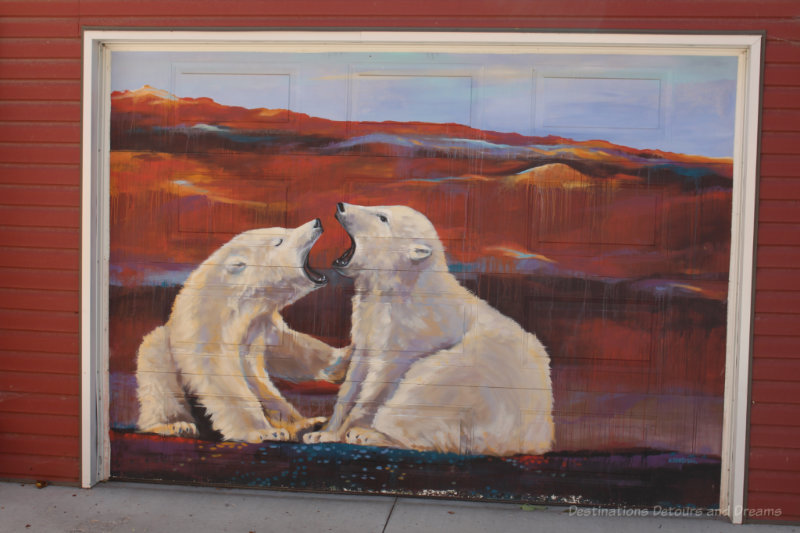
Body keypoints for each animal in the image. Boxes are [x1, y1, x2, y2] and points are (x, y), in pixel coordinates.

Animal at [137, 218, 350, 442]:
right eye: (279, 240)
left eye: (285, 229)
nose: (317, 222)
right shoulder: (209, 326)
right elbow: (221, 375)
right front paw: (264, 431)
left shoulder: (260, 322)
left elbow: (288, 349)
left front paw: (345, 358)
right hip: (163, 349)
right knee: (159, 377)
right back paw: (176, 425)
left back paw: (306, 423)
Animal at [304, 202, 552, 456]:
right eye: (381, 210)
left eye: (382, 217)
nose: (341, 206)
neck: (402, 287)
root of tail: (538, 440)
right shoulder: (367, 322)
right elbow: (355, 375)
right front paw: (323, 432)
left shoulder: (409, 332)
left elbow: (379, 382)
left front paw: (342, 431)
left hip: (470, 383)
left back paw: (368, 435)